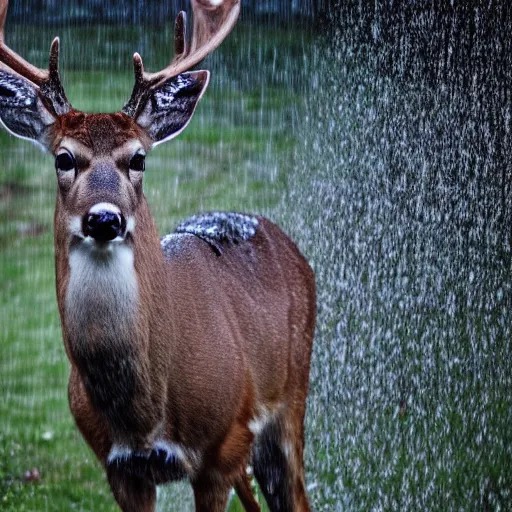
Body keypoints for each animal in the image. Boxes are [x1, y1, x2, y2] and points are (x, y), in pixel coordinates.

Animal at [0, 0, 316, 510]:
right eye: (63, 158)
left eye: (139, 158)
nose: (104, 219)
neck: (143, 415)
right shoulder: (119, 467)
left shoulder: (221, 451)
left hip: (290, 399)